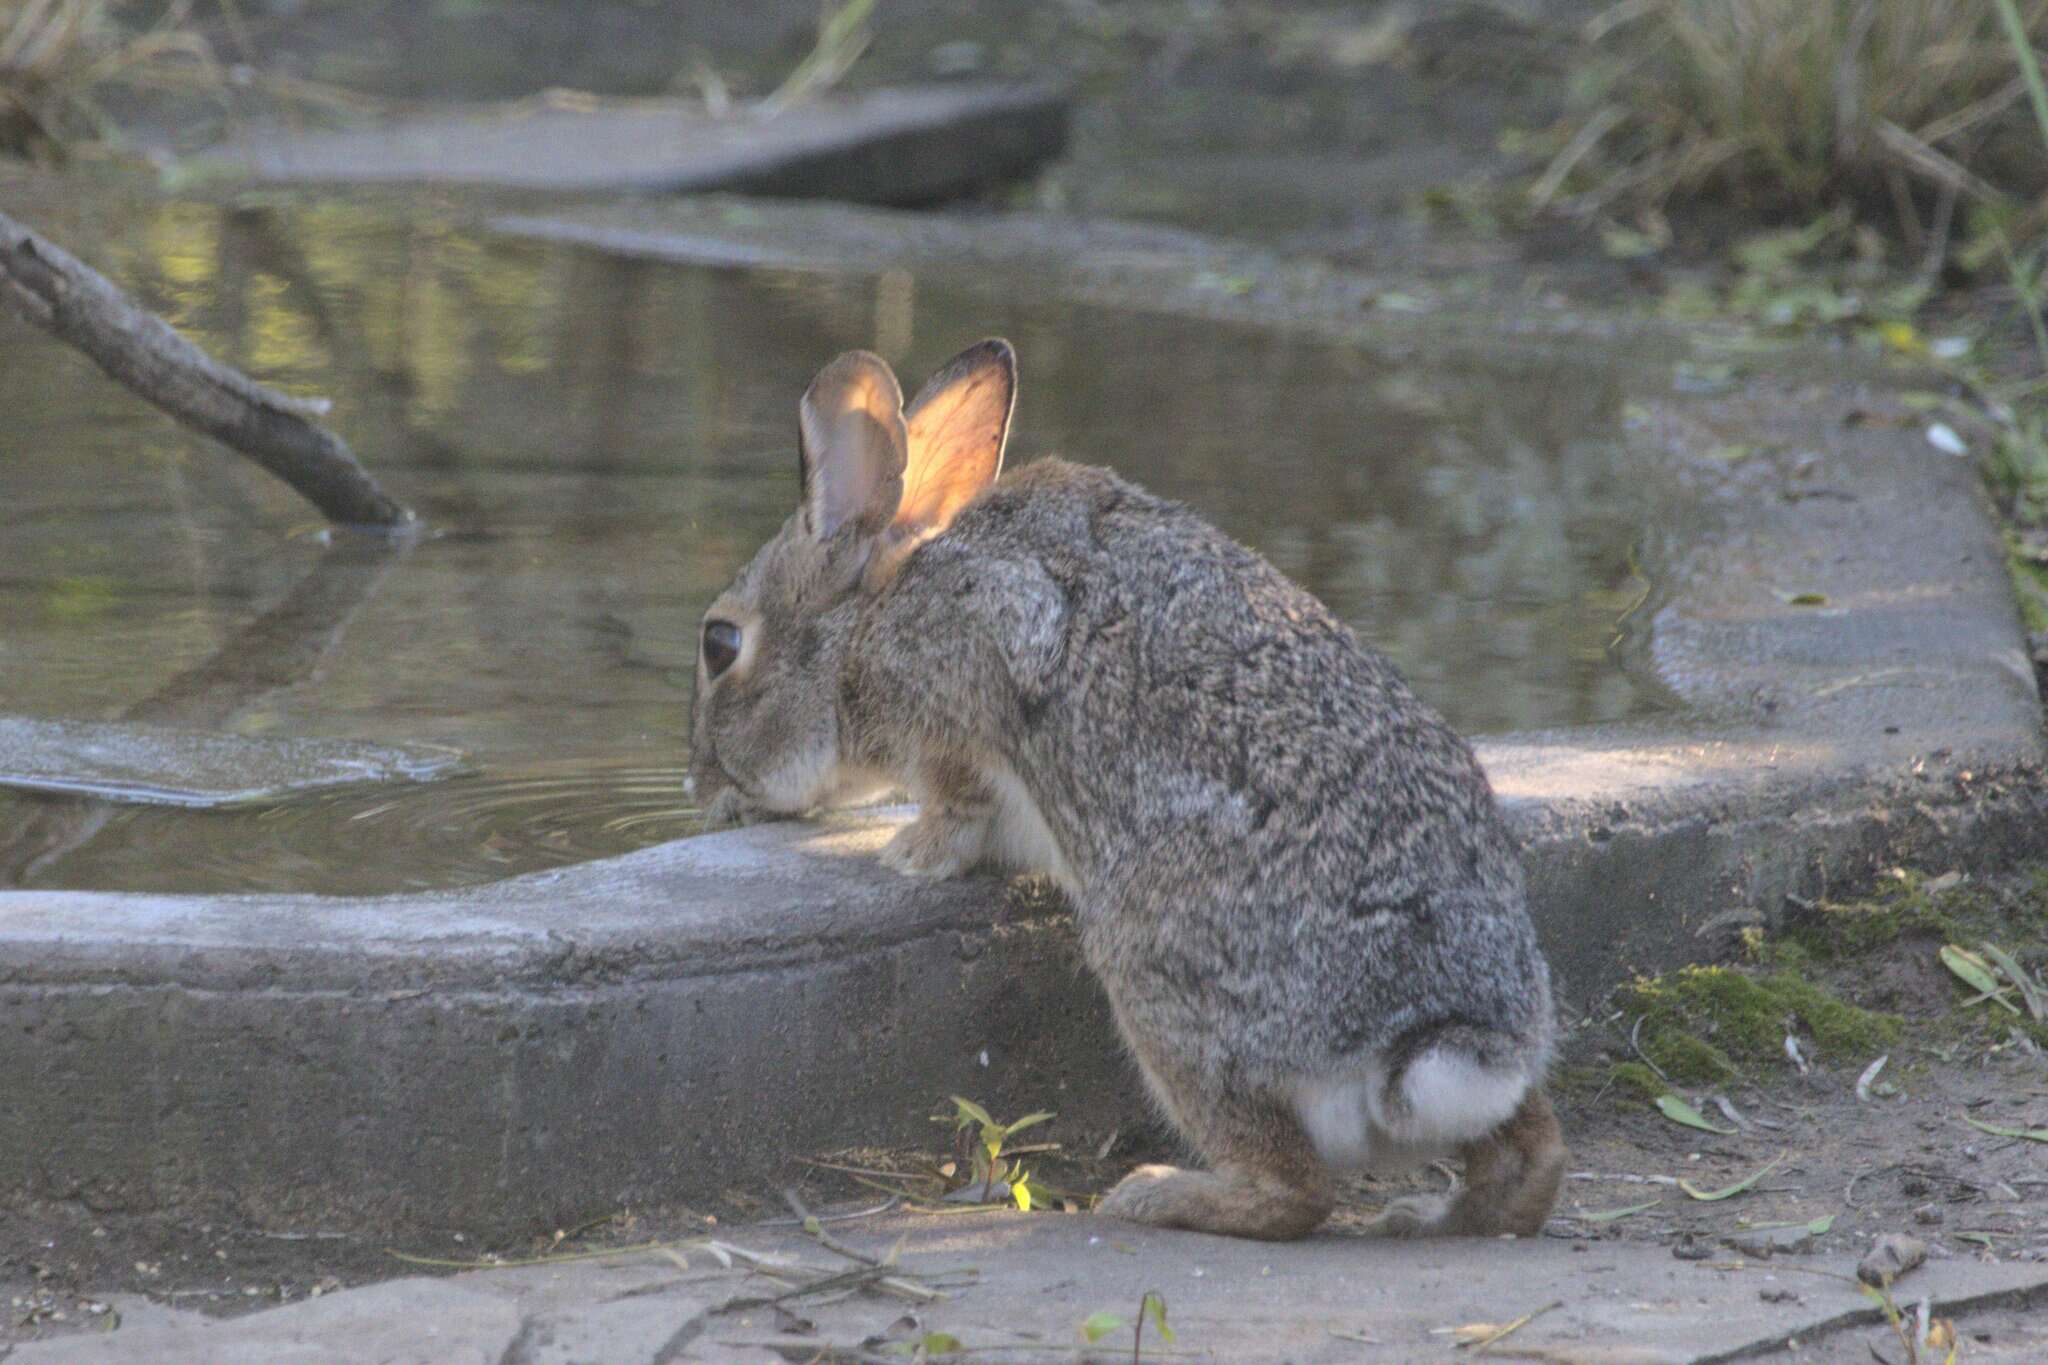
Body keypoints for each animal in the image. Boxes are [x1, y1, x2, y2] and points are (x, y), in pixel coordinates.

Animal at [692, 339, 1564, 1236]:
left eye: (720, 644)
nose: (702, 782)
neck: (870, 615)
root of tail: (1433, 1035)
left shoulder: (971, 667)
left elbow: (962, 792)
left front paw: (911, 852)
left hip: (1160, 985)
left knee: (1295, 1189)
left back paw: (1158, 1192)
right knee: (1531, 1156)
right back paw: (1431, 1216)